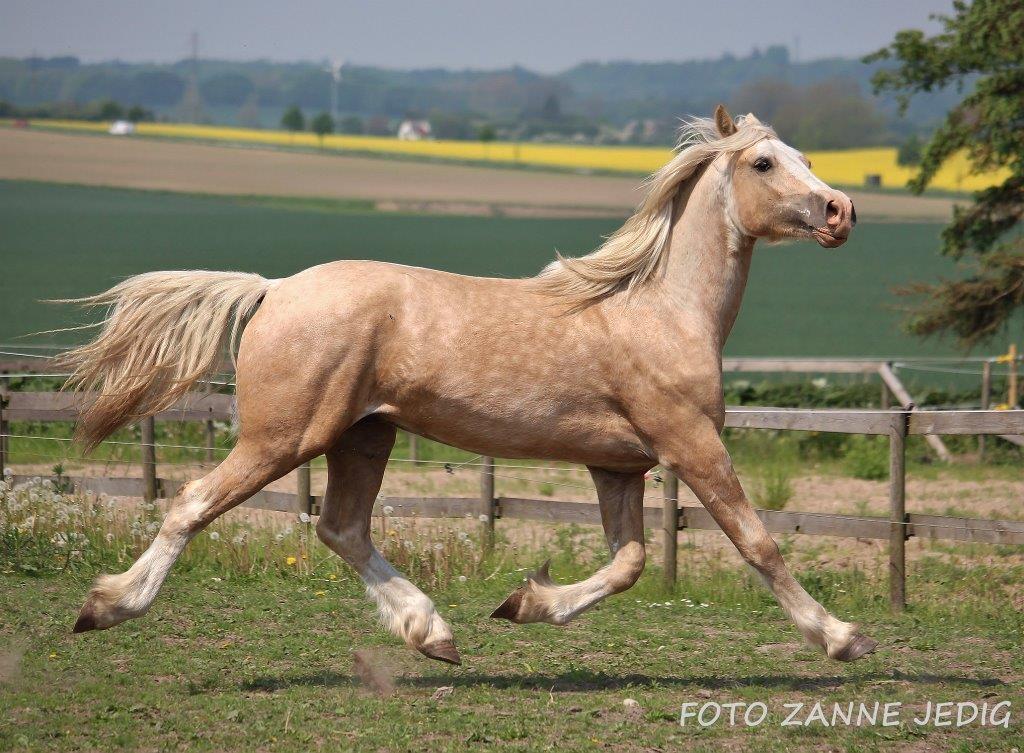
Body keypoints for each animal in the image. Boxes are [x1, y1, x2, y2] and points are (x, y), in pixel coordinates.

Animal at [68, 104, 876, 663]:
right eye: (765, 163)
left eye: (806, 157)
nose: (841, 210)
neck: (661, 310)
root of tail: (273, 289)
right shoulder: (691, 443)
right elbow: (757, 543)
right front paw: (843, 637)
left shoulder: (618, 465)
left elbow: (629, 563)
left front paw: (524, 603)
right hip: (284, 435)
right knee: (194, 502)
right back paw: (106, 606)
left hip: (365, 434)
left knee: (341, 527)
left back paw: (434, 634)